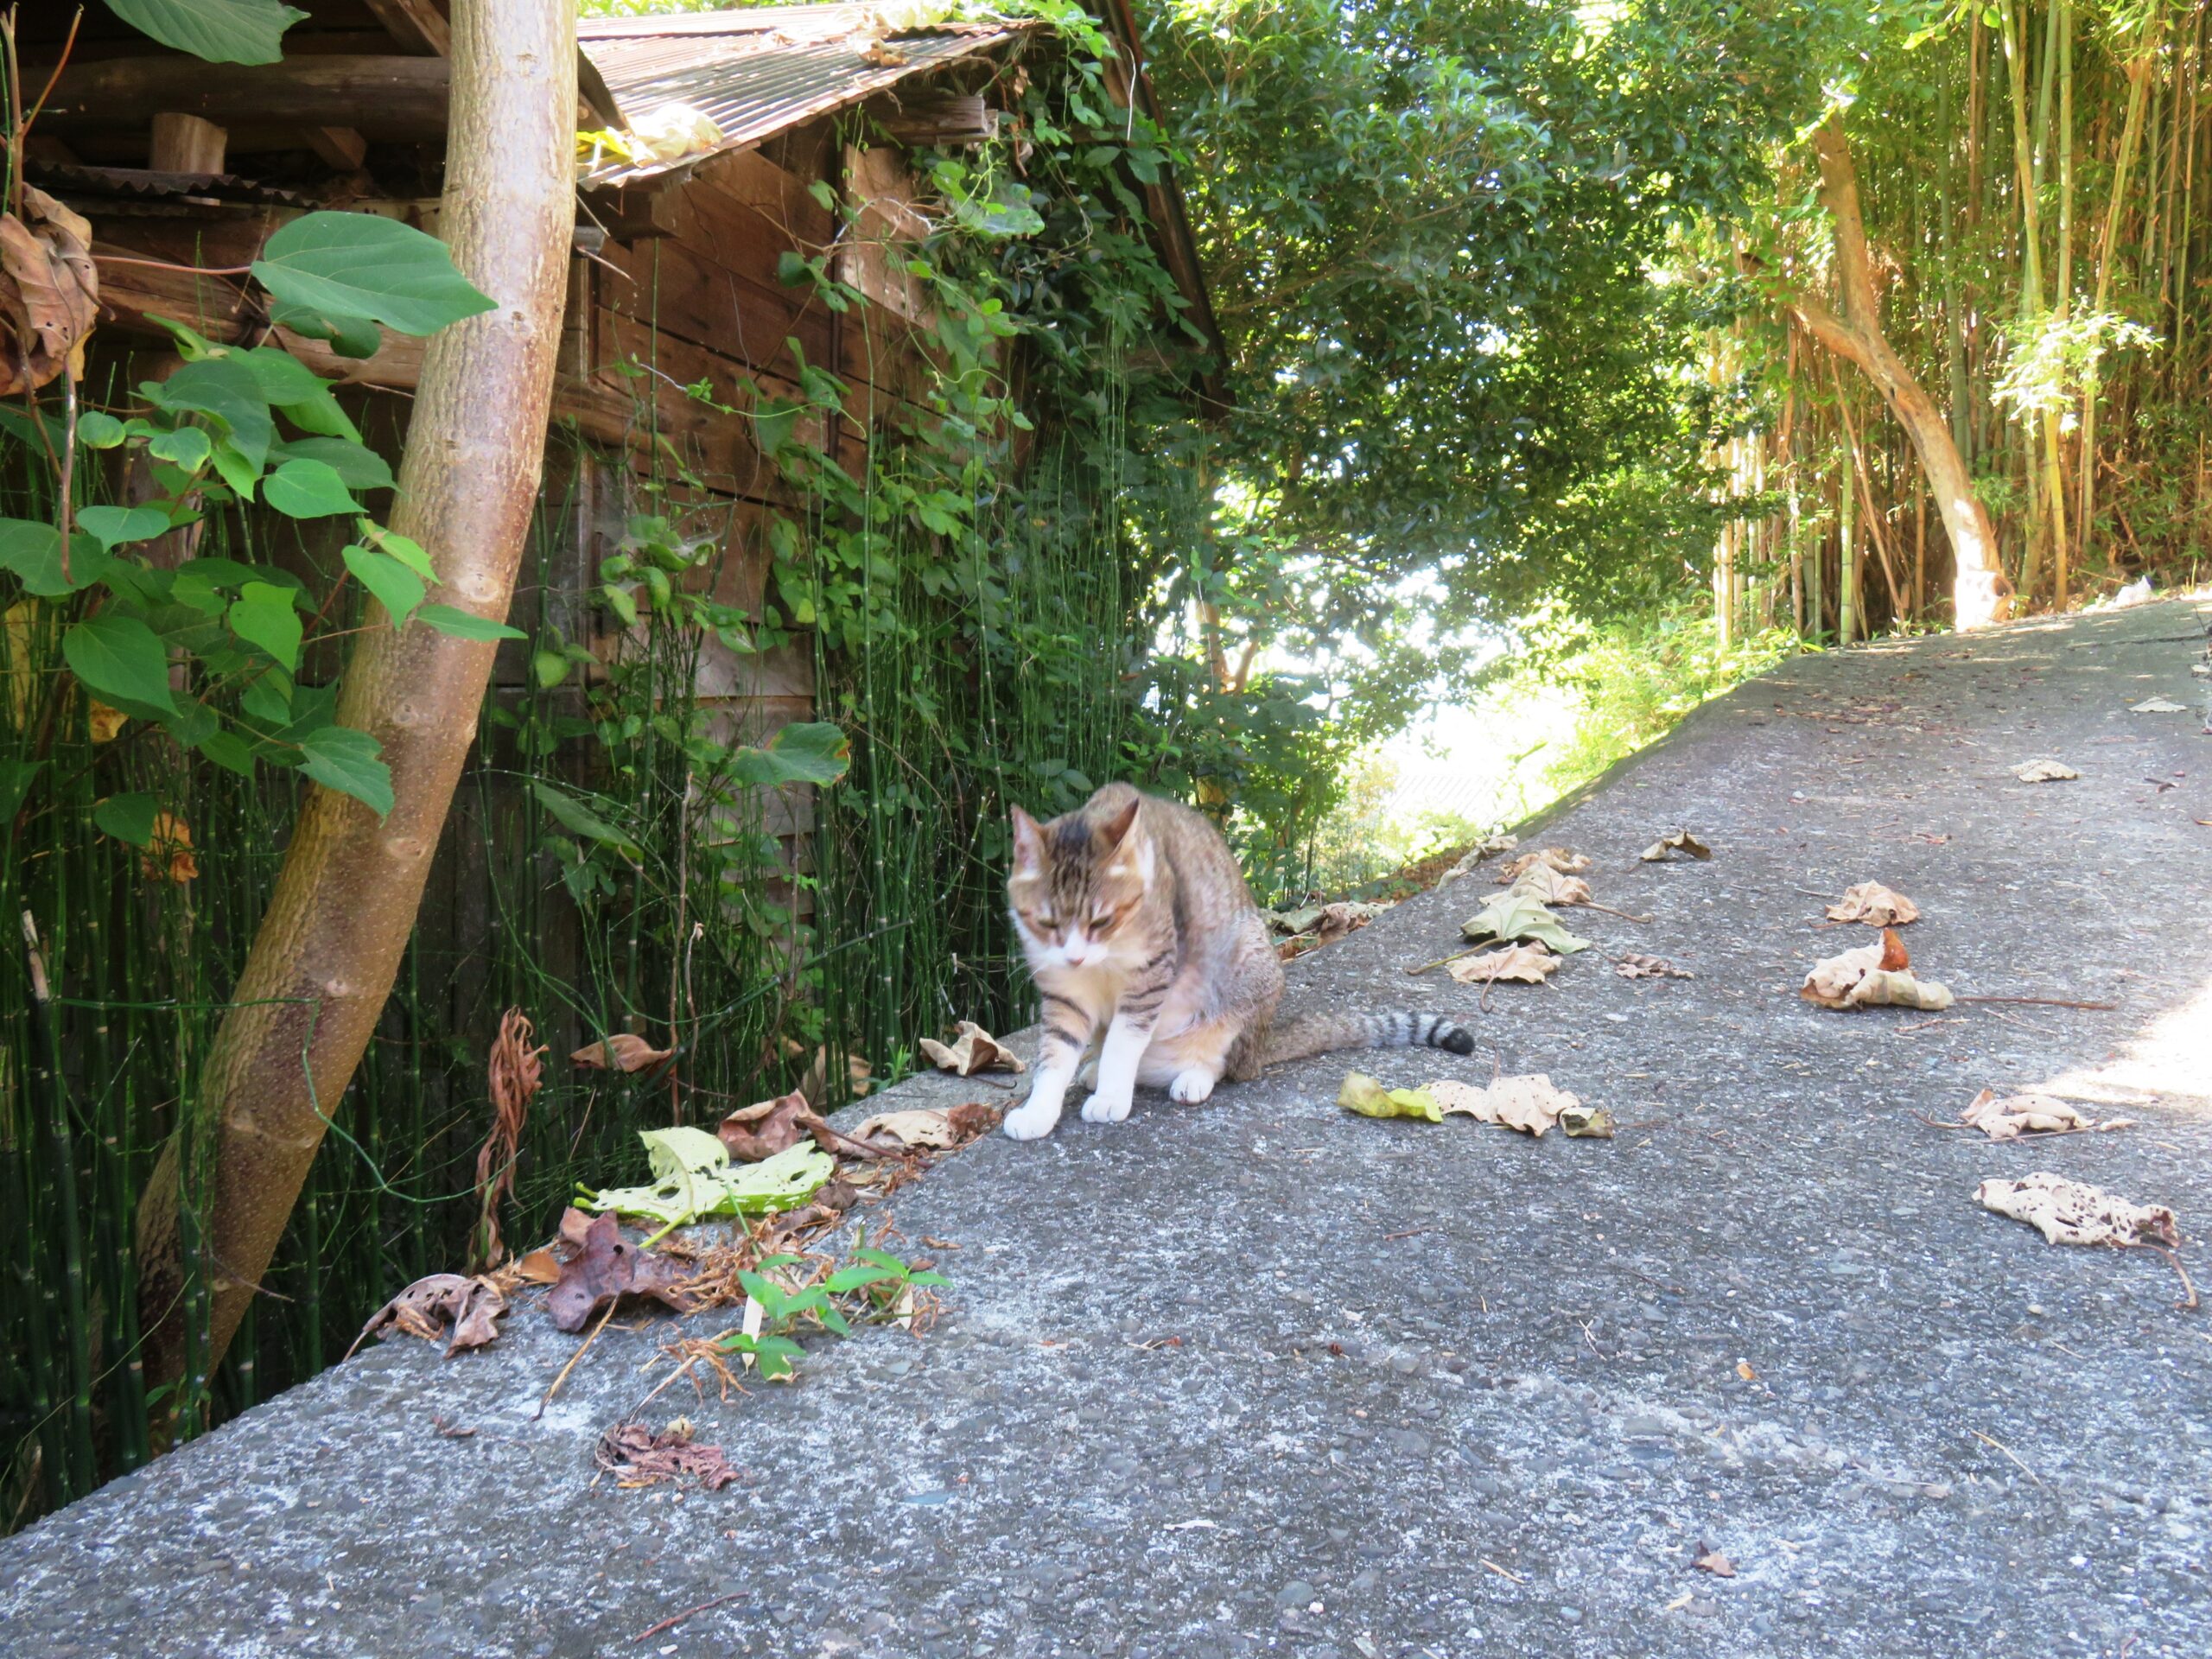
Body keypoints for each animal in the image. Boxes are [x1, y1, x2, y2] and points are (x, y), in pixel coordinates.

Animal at [1000, 783, 1468, 1141]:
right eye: (1047, 922)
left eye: (1101, 920)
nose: (1076, 956)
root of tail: (1262, 1045)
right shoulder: (1065, 991)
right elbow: (1056, 1054)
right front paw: (1040, 1111)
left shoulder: (1150, 977)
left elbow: (1123, 1042)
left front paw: (1113, 1098)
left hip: (1245, 973)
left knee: (1223, 1062)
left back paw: (1188, 1077)